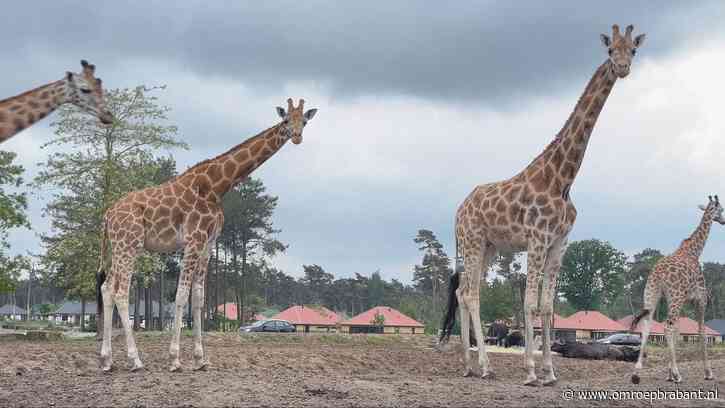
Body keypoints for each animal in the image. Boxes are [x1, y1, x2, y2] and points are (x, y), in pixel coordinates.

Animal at [97, 98, 317, 372]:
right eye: (286, 119)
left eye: (304, 121)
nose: (297, 136)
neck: (217, 186)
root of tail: (107, 215)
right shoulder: (193, 239)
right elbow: (181, 296)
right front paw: (175, 359)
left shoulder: (209, 243)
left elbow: (200, 299)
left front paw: (200, 359)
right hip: (129, 244)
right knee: (120, 291)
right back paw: (135, 360)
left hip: (118, 247)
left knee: (107, 288)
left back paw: (106, 360)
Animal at [438, 25, 646, 386]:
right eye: (610, 51)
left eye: (632, 49)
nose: (622, 68)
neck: (562, 180)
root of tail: (458, 211)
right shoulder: (536, 240)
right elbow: (530, 305)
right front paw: (532, 371)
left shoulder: (559, 242)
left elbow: (548, 308)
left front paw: (550, 372)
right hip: (472, 241)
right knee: (472, 294)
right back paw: (485, 367)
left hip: (490, 247)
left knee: (464, 292)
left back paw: (468, 365)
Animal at [630, 195, 723, 384]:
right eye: (721, 209)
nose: (723, 220)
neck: (694, 251)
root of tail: (658, 274)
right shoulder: (700, 299)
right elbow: (701, 332)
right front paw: (707, 372)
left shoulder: (680, 301)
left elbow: (678, 332)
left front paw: (668, 374)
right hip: (675, 296)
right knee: (666, 327)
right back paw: (678, 374)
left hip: (652, 294)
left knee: (647, 326)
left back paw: (636, 373)